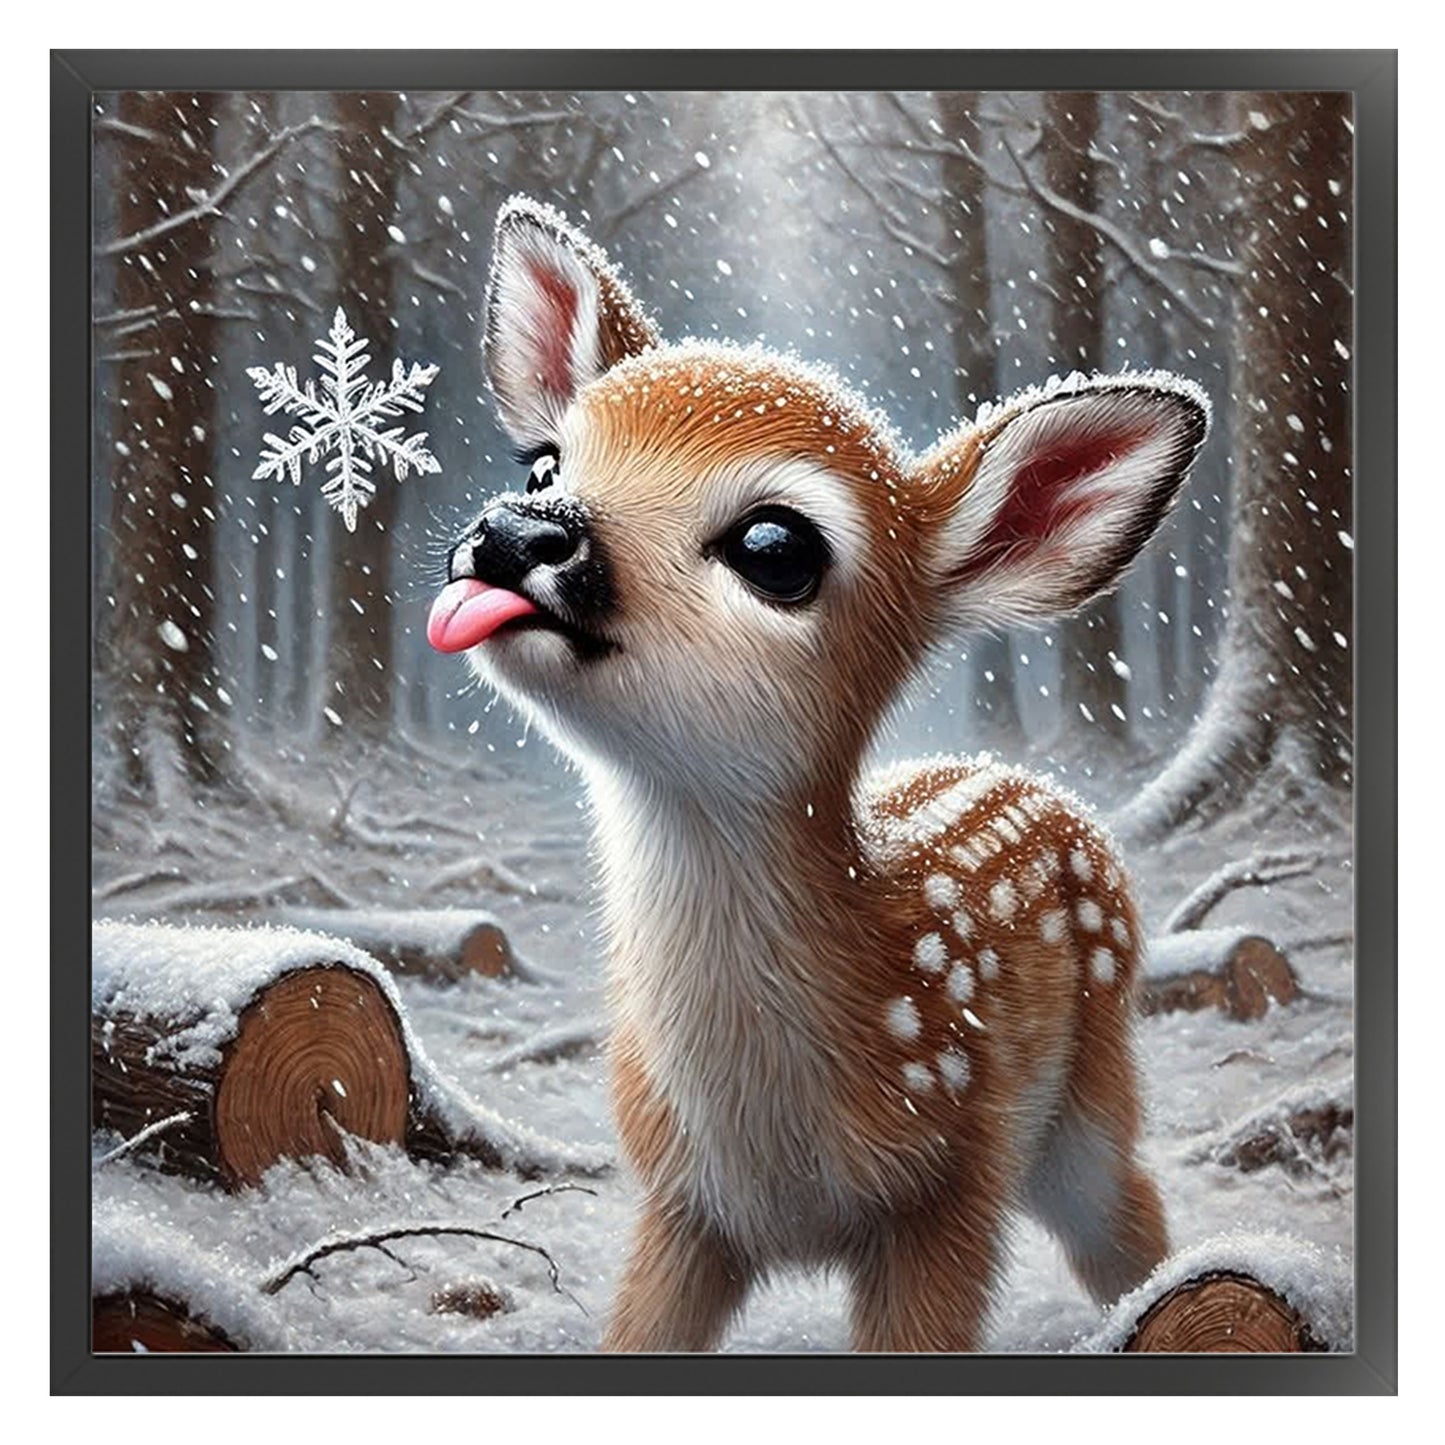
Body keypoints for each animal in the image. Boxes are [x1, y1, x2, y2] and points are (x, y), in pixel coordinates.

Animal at [427, 197, 1209, 1352]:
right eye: (542, 465)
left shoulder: (950, 1188)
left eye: (775, 546)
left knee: (1129, 1210)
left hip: (1089, 1085)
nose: (517, 531)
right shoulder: (678, 1205)